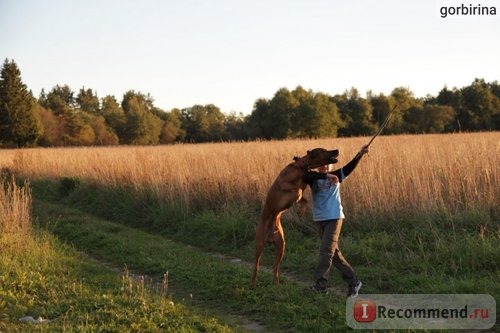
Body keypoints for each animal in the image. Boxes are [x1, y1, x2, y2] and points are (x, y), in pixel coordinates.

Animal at [250, 147, 340, 286]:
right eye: (323, 150)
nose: (337, 149)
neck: (301, 166)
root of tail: (270, 236)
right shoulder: (283, 183)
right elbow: (296, 190)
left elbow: (305, 200)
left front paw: (301, 211)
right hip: (259, 245)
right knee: (256, 266)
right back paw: (252, 284)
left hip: (281, 246)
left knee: (275, 267)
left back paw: (276, 283)